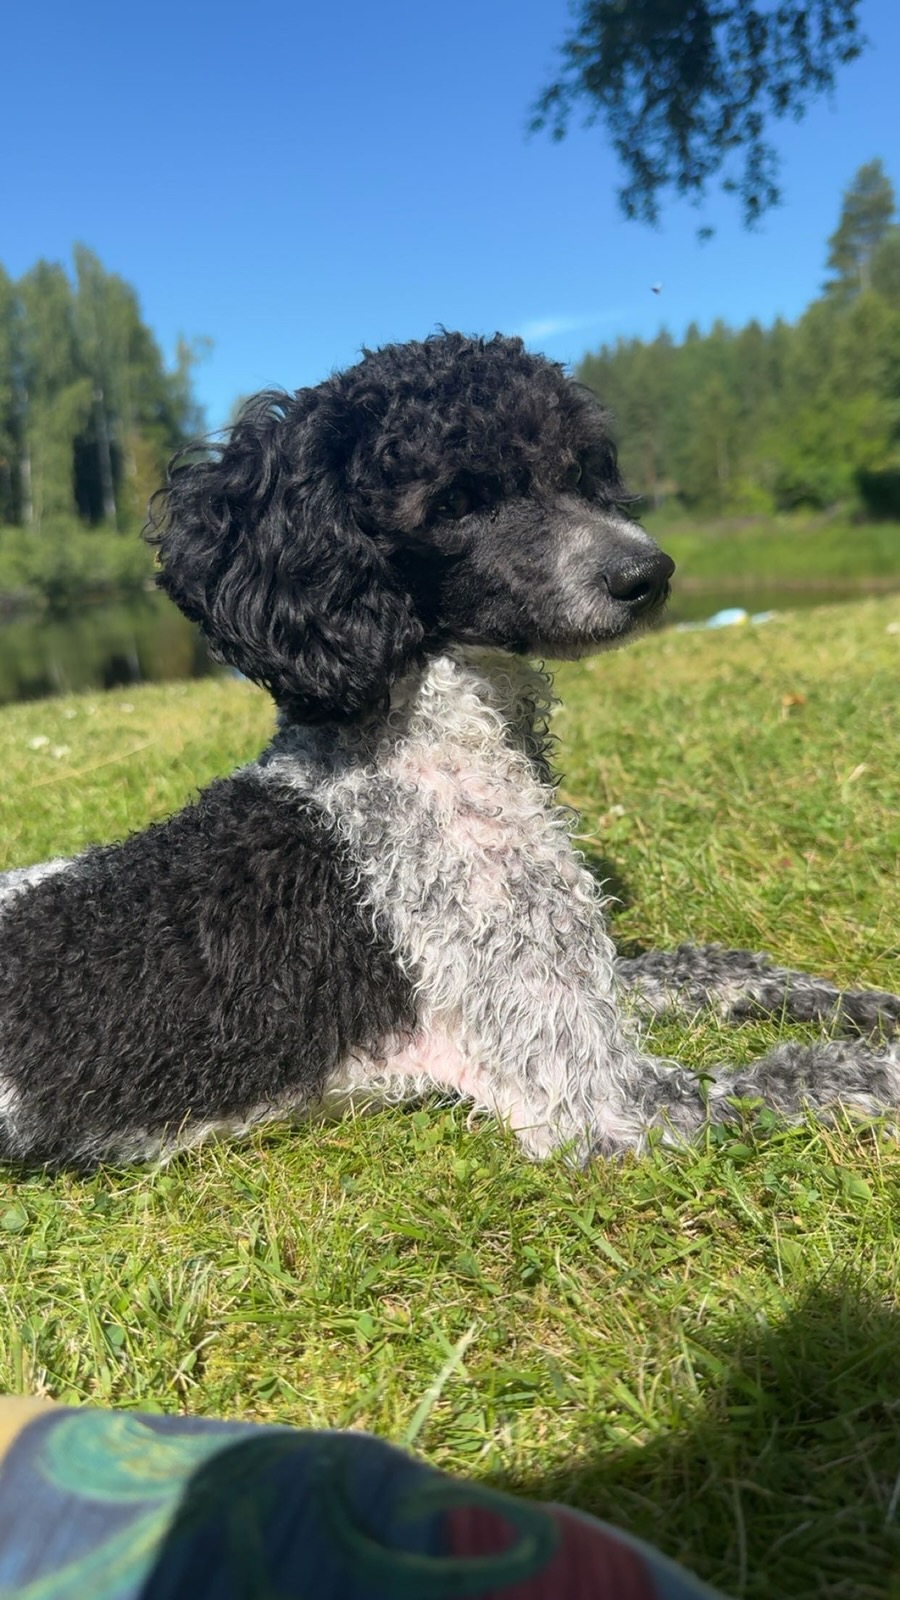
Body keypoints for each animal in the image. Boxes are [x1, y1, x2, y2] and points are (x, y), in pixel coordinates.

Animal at [0, 332, 897, 1168]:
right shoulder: (595, 1093)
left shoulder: (585, 980)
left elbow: (702, 967)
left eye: (582, 466)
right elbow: (802, 1074)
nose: (648, 573)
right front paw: (877, 1061)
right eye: (458, 501)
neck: (425, 746)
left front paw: (849, 1000)